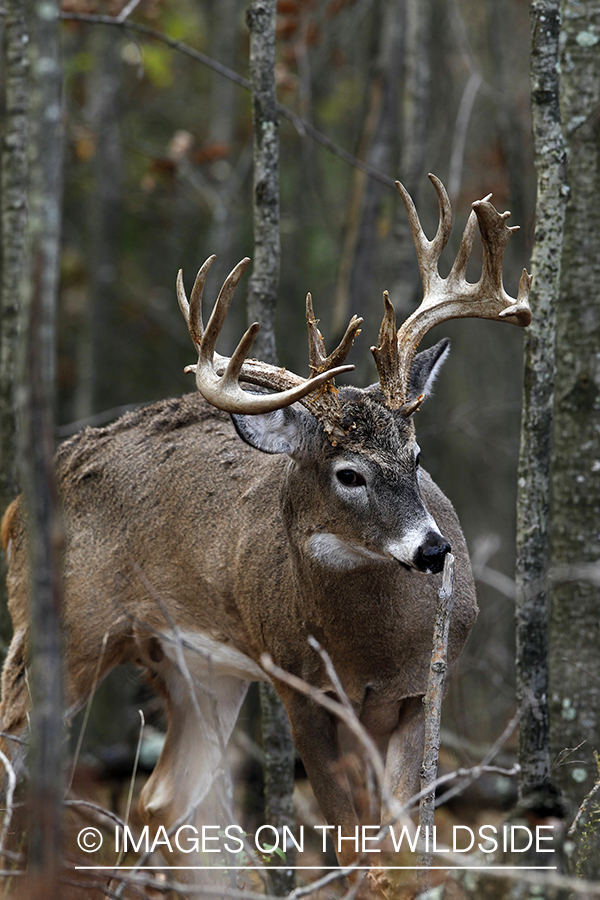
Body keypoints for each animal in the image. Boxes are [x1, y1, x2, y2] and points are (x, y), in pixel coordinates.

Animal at [0, 174, 528, 872]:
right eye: (348, 474)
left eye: (416, 458)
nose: (433, 550)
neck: (372, 648)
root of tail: (19, 504)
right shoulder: (297, 687)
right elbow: (349, 843)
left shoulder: (417, 692)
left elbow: (395, 851)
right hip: (67, 627)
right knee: (18, 755)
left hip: (196, 665)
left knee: (160, 797)